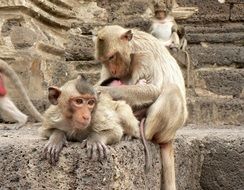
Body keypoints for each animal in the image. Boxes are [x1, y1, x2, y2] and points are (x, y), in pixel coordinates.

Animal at [94, 25, 188, 190]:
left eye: (112, 57)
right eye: (104, 60)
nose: (113, 71)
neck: (132, 50)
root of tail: (170, 137)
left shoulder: (144, 54)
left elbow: (152, 89)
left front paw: (99, 90)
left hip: (169, 128)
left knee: (172, 90)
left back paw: (139, 133)